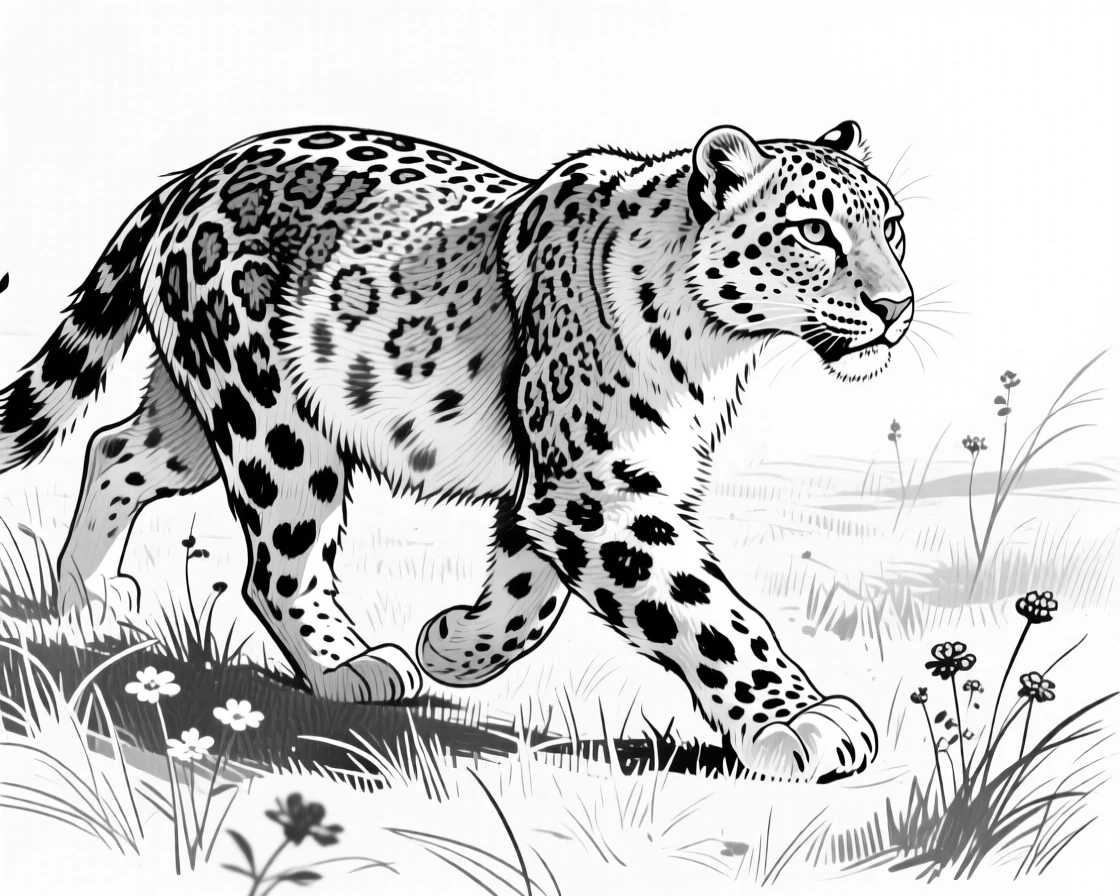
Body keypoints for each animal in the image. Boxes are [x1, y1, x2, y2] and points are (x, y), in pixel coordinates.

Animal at [0, 120, 913, 781]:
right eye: (814, 232)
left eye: (893, 228)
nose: (897, 306)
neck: (716, 347)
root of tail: (190, 176)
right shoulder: (597, 492)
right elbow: (707, 611)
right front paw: (801, 723)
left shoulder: (569, 488)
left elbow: (527, 598)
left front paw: (456, 646)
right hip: (276, 421)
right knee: (276, 564)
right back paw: (349, 666)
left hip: (195, 413)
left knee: (114, 447)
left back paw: (84, 596)